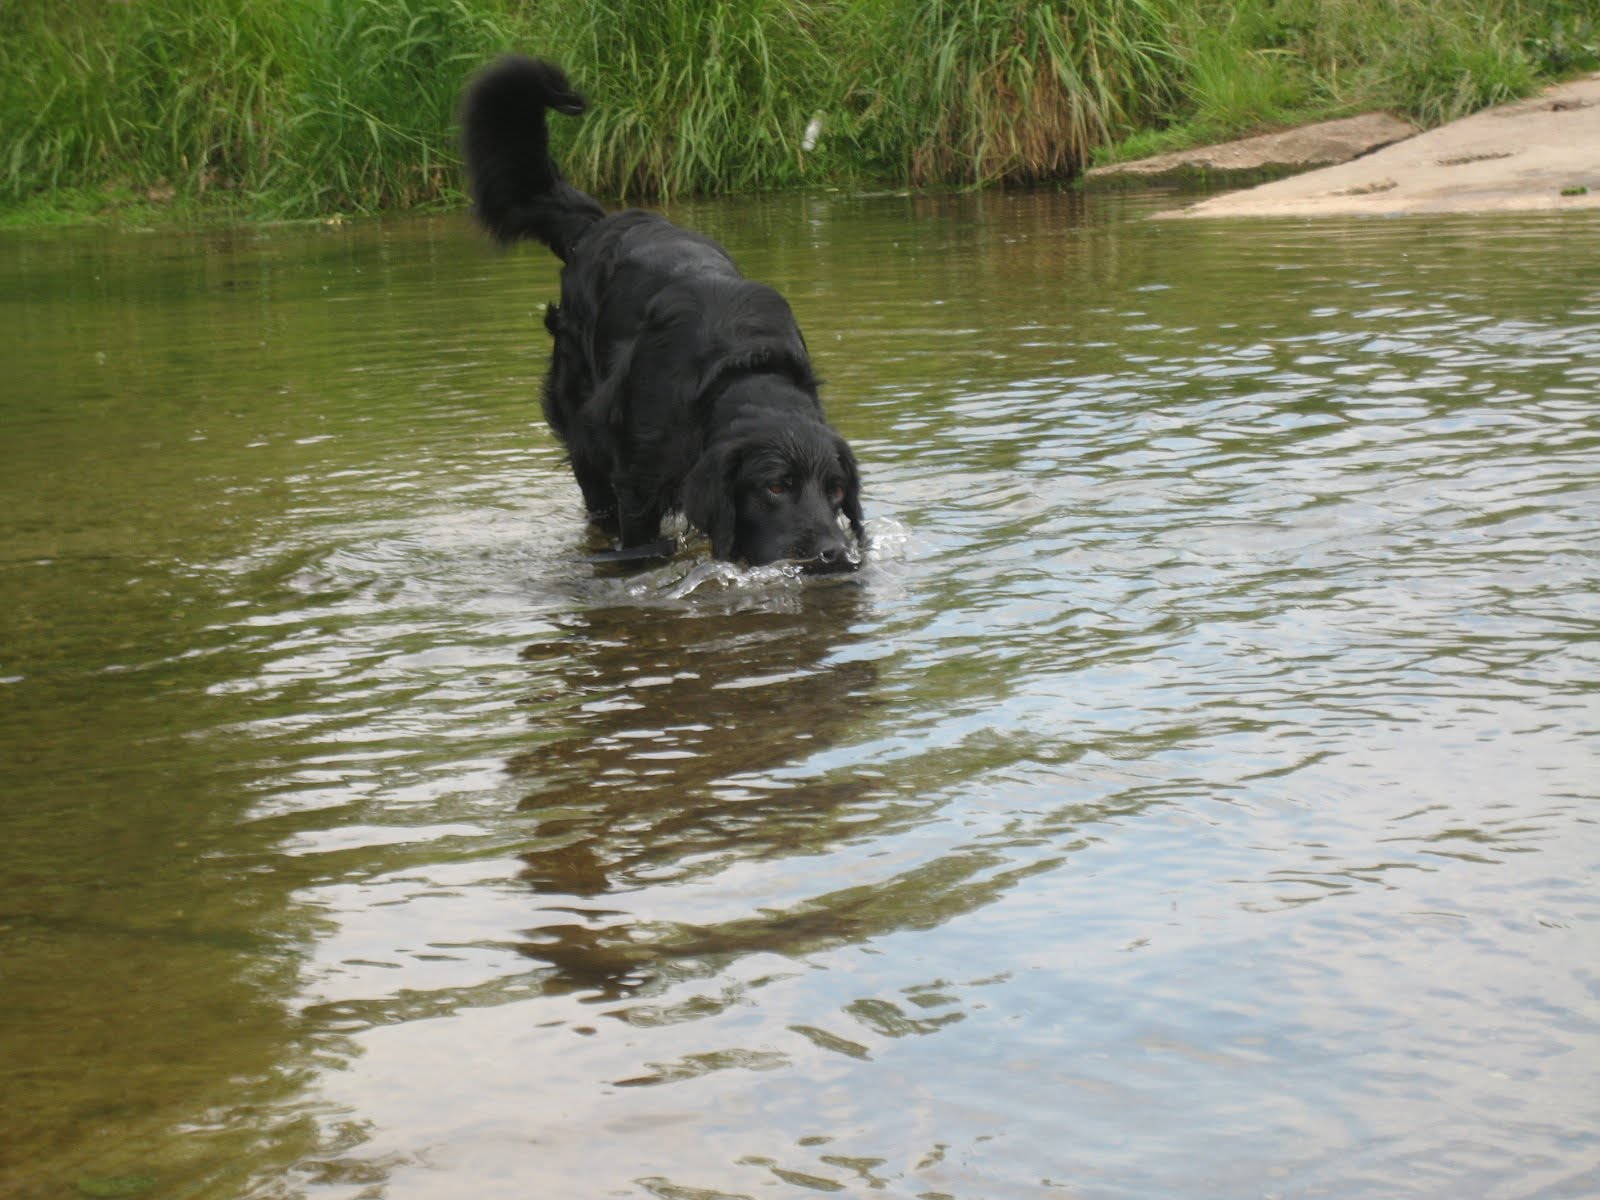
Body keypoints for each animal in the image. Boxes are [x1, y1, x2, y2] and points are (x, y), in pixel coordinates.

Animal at [461, 55, 864, 570]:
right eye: (775, 487)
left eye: (836, 491)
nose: (834, 554)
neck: (741, 370)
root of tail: (598, 226)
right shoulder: (637, 486)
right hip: (585, 438)